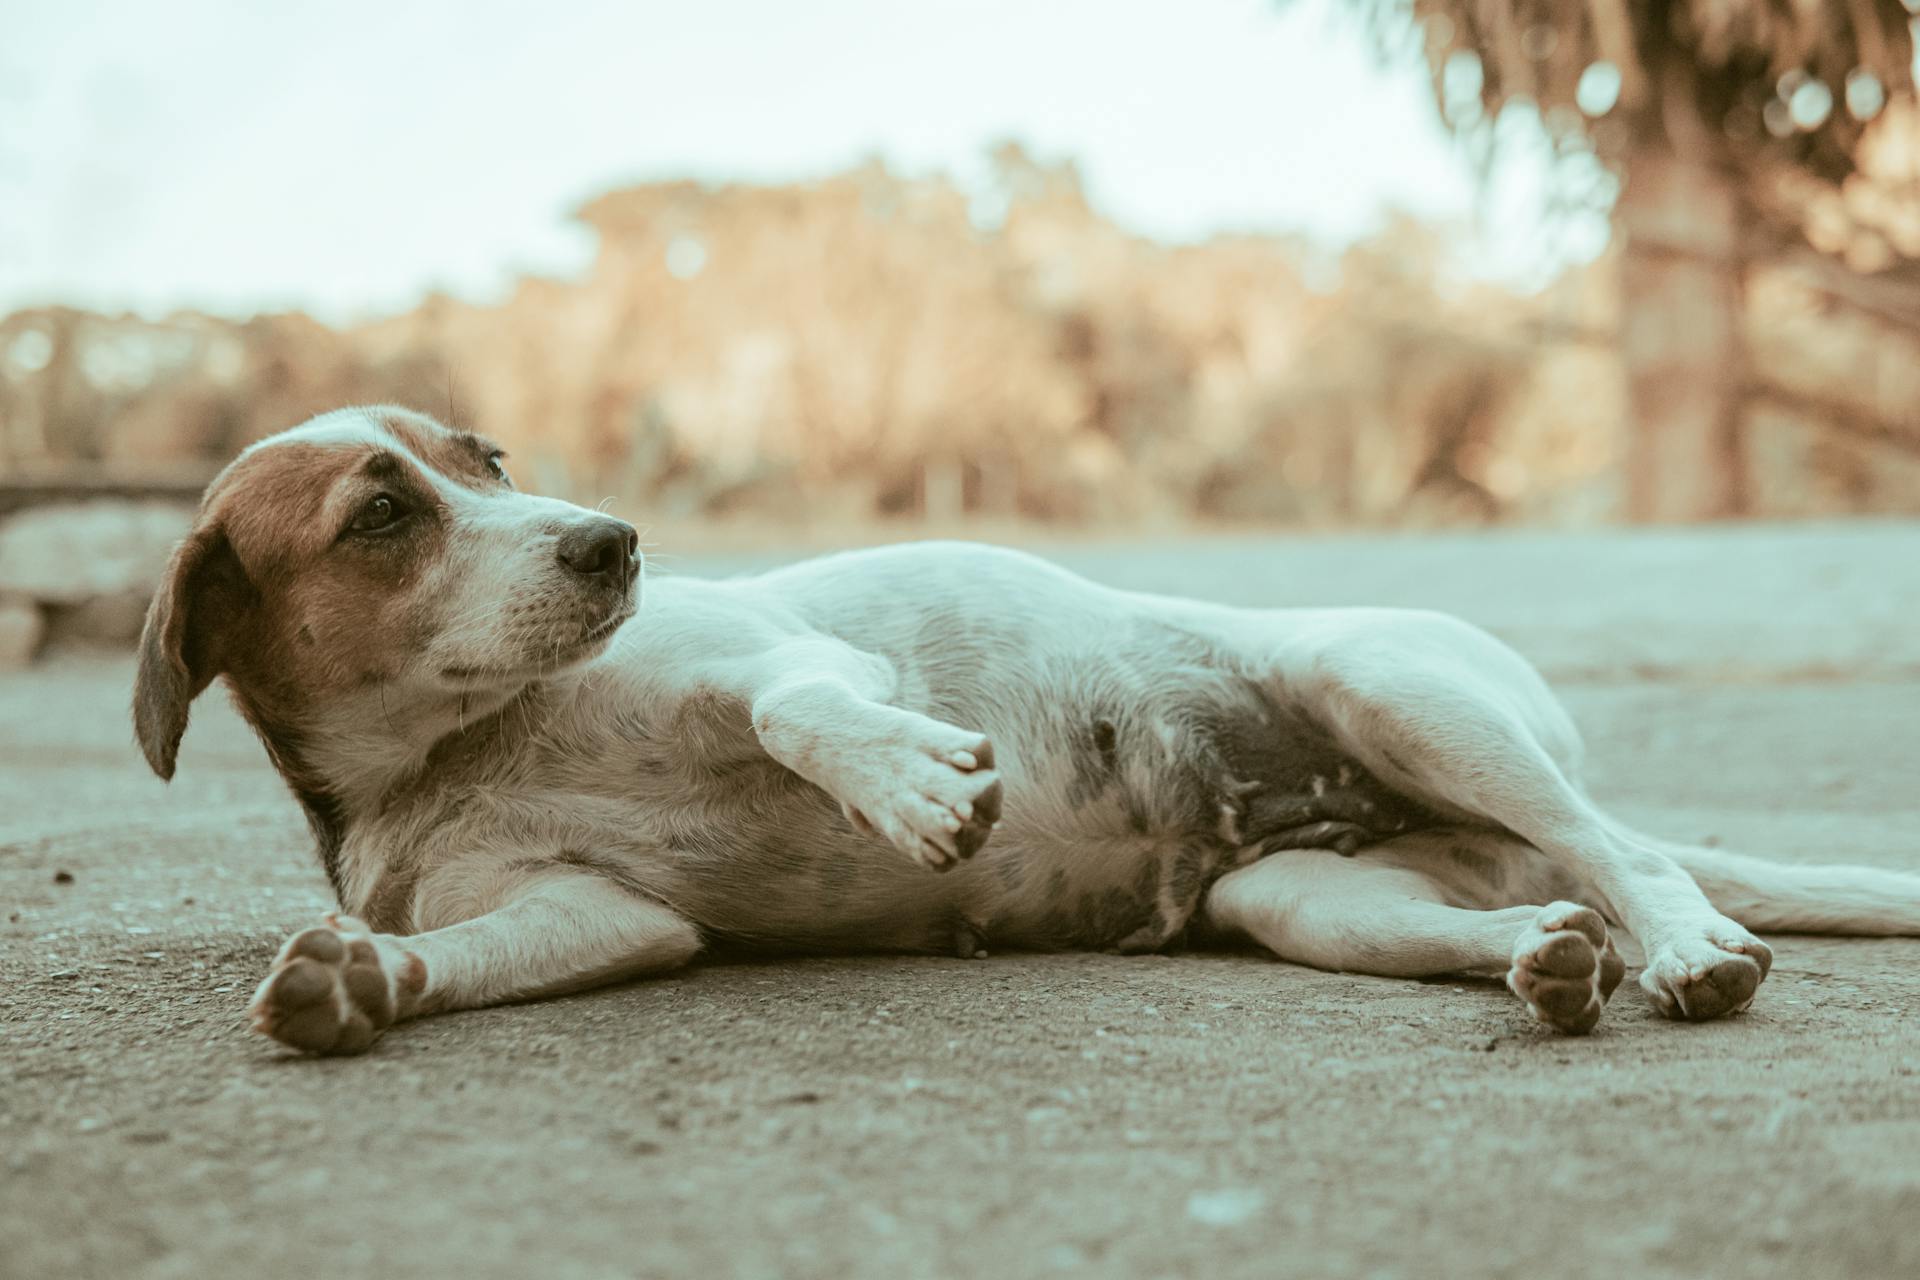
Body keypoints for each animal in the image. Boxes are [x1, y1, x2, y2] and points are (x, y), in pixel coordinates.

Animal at [135, 408, 1920, 1051]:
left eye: (484, 458)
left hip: (1398, 690)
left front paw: (903, 782)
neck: (466, 740)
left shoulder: (787, 654)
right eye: (382, 514)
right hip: (1310, 898)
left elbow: (800, 705)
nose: (613, 542)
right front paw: (352, 986)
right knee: (1533, 909)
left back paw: (1681, 946)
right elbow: (442, 957)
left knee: (1623, 855)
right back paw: (1550, 965)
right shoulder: (597, 915)